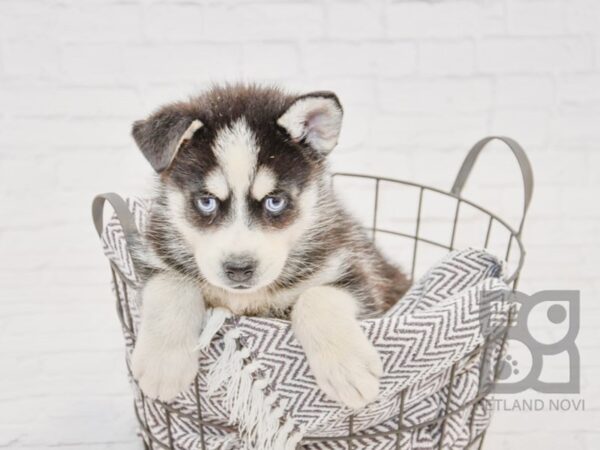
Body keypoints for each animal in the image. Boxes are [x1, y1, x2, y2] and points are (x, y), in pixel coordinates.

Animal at [129, 82, 410, 410]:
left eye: (275, 201)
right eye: (206, 201)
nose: (239, 269)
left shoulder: (355, 272)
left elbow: (316, 296)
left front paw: (346, 366)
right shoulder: (157, 255)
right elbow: (173, 283)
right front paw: (164, 363)